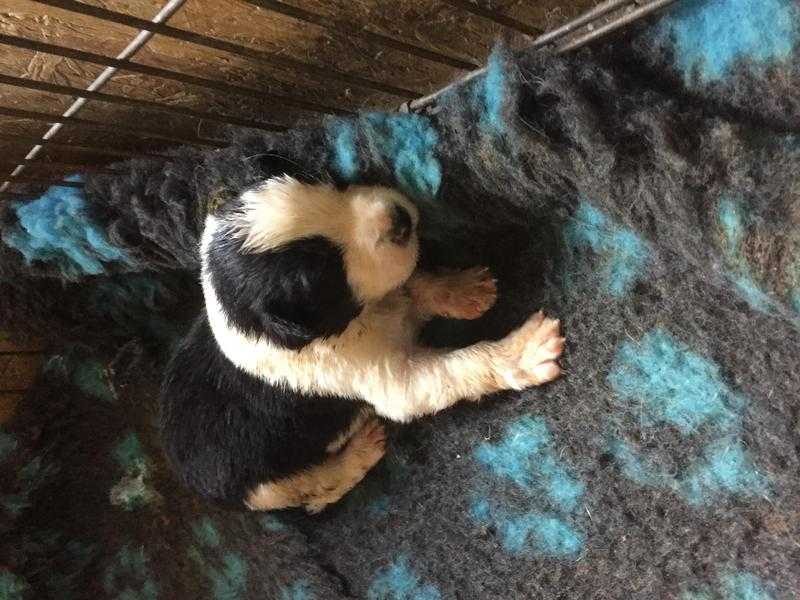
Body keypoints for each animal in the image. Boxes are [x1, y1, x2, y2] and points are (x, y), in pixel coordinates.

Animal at [159, 176, 564, 512]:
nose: (400, 220)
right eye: (327, 275)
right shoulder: (398, 384)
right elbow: (460, 367)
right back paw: (360, 452)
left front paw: (462, 290)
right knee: (318, 490)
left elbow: (413, 286)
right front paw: (524, 351)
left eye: (324, 185)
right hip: (270, 488)